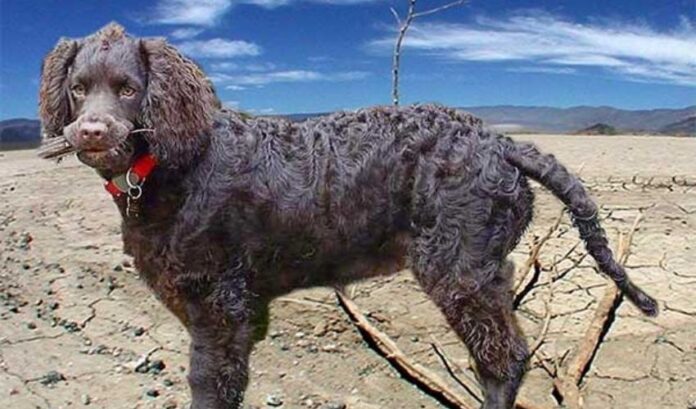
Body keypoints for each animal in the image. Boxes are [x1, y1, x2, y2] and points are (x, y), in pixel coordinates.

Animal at [38, 23, 656, 408]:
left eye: (128, 90)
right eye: (78, 88)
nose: (91, 132)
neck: (172, 164)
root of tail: (500, 141)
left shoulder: (219, 304)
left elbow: (209, 384)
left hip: (458, 268)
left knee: (504, 359)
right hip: (486, 268)